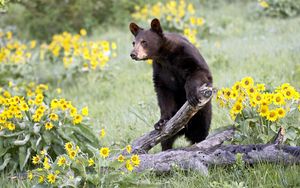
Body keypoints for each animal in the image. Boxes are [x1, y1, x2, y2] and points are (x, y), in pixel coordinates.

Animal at [130, 18, 212, 151]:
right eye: (133, 42)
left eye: (144, 42)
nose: (133, 54)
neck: (165, 56)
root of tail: (184, 131)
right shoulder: (160, 69)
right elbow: (163, 92)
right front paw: (161, 122)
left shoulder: (187, 54)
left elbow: (200, 71)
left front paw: (191, 95)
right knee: (166, 139)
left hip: (203, 113)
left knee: (201, 131)